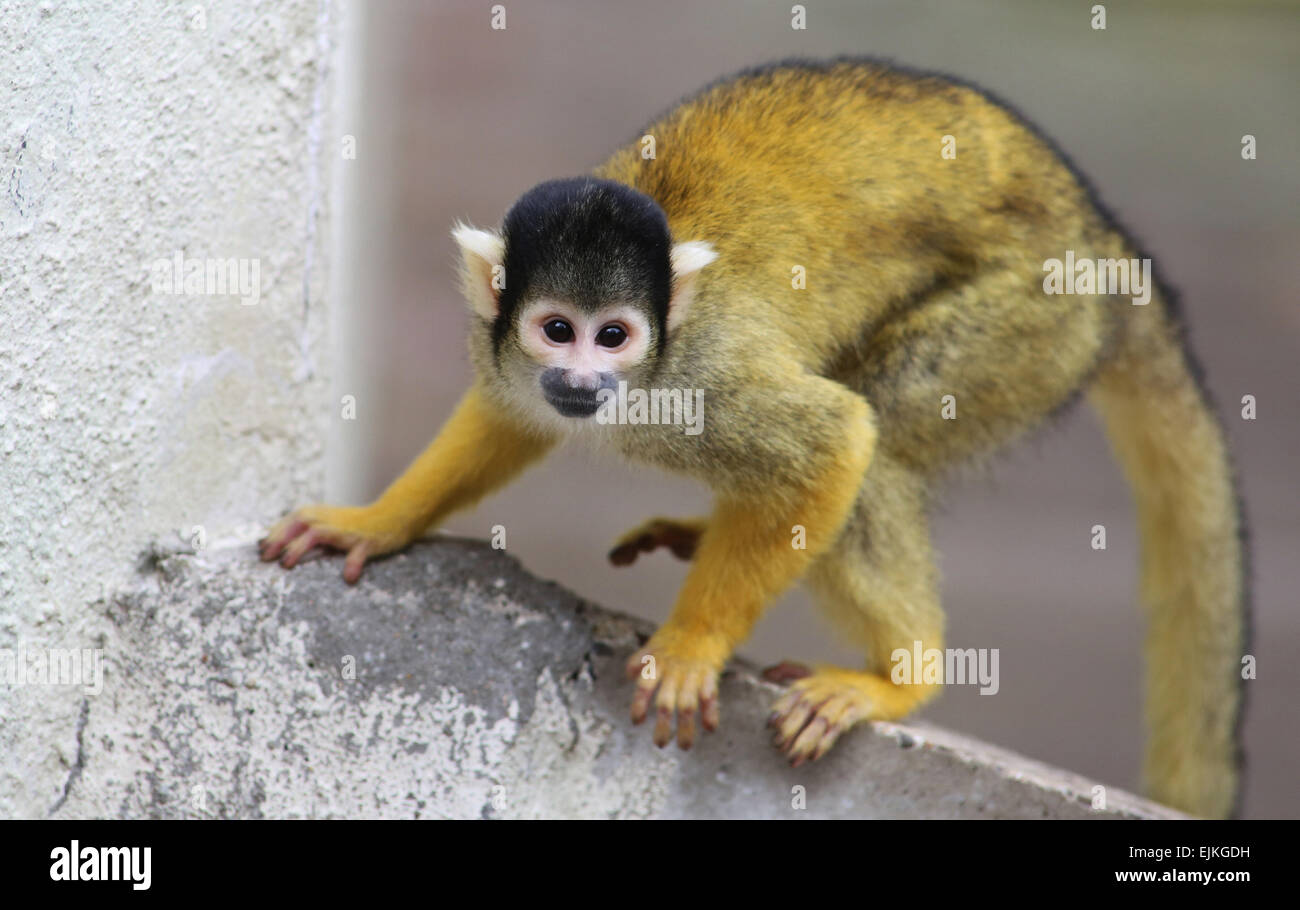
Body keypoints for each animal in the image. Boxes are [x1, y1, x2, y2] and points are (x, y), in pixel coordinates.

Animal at [261, 60, 1248, 821]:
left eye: (613, 336)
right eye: (556, 330)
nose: (581, 380)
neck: (645, 380)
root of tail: (1101, 236)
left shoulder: (708, 375)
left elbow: (833, 439)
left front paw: (693, 647)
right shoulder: (502, 353)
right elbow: (503, 419)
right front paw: (375, 519)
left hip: (1032, 320)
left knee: (877, 436)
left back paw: (902, 678)